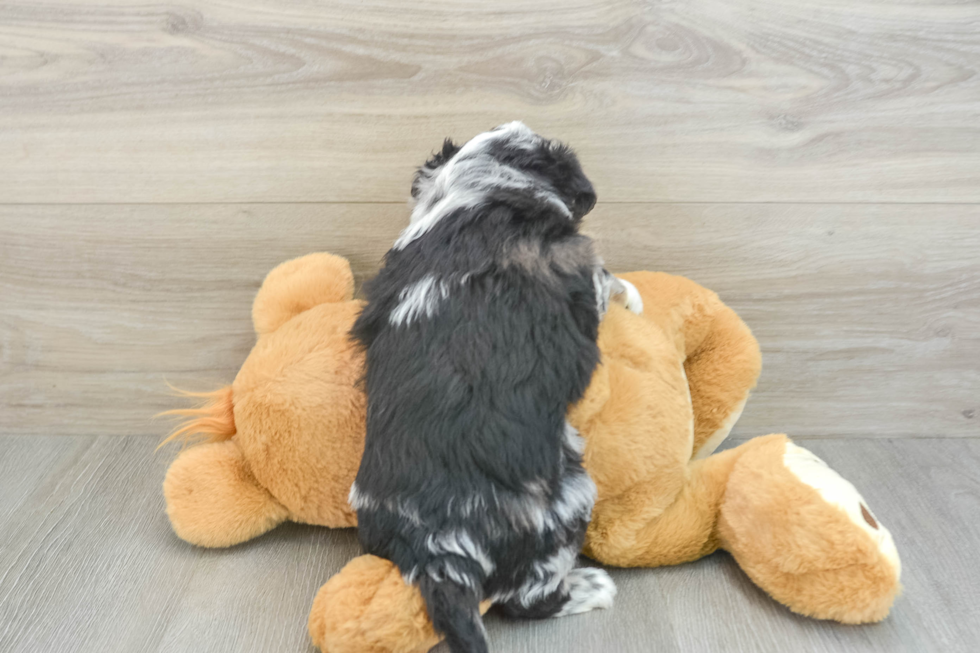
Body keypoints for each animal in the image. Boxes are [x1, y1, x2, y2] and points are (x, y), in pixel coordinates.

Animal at [348, 122, 640, 652]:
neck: (478, 188)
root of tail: (434, 556)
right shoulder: (580, 269)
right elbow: (606, 280)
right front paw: (631, 293)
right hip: (570, 499)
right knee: (528, 600)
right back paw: (592, 586)